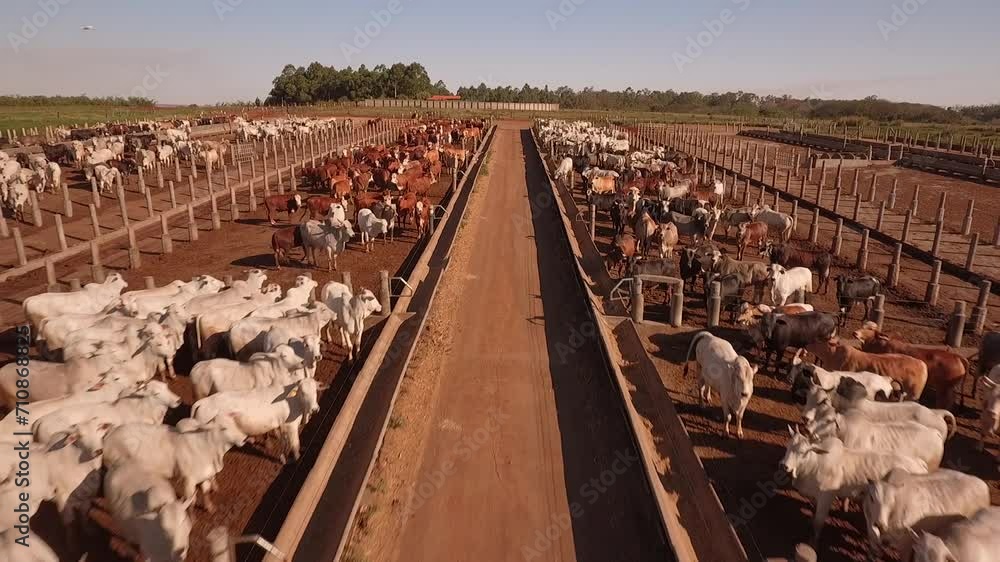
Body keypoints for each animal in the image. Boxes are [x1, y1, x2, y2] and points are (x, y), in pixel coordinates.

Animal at [780, 426, 928, 540]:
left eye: (802, 452)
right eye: (788, 447)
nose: (784, 466)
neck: (815, 463)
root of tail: (920, 465)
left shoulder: (826, 498)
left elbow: (818, 522)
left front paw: (813, 540)